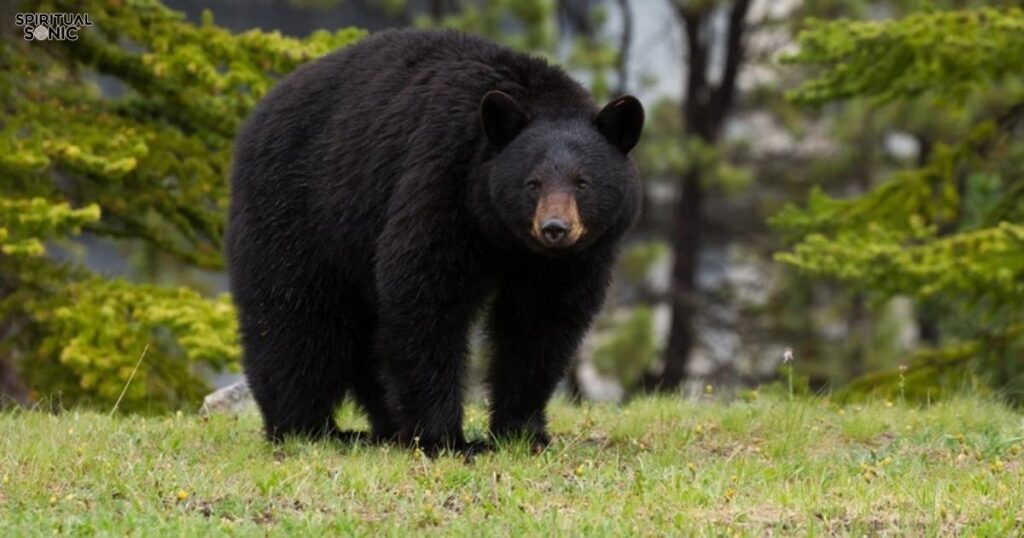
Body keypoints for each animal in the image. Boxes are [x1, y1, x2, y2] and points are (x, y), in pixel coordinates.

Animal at [226, 28, 638, 448]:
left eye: (582, 183)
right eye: (533, 183)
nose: (555, 228)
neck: (505, 236)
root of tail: (258, 112)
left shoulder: (568, 260)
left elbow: (540, 321)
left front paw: (522, 432)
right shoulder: (443, 179)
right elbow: (426, 294)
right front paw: (445, 438)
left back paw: (385, 426)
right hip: (296, 209)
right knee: (293, 318)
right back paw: (305, 428)